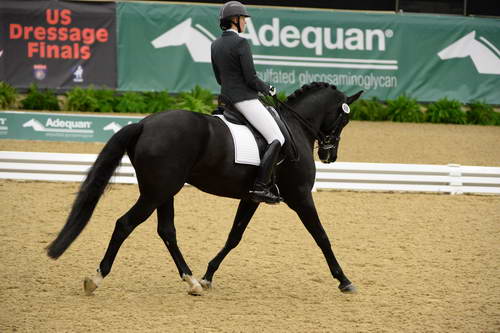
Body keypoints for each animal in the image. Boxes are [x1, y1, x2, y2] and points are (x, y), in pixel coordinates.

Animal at [47, 81, 364, 294]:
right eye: (344, 119)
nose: (330, 156)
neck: (294, 128)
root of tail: (145, 124)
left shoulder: (252, 198)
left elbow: (234, 237)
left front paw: (209, 275)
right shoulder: (300, 196)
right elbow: (322, 237)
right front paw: (344, 280)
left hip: (165, 191)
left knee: (167, 231)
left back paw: (192, 281)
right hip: (156, 192)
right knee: (125, 224)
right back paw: (95, 279)